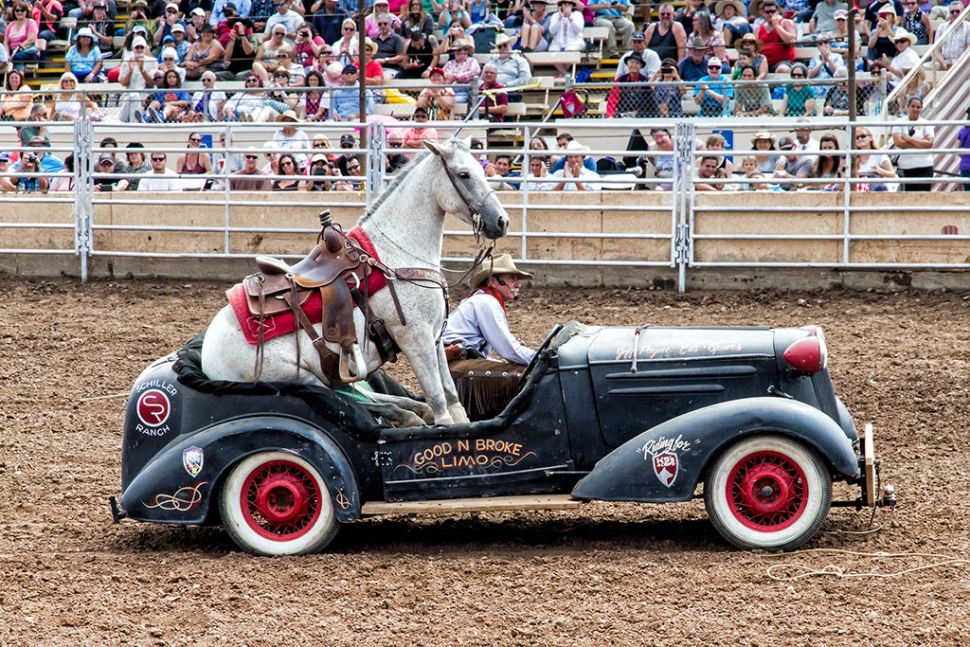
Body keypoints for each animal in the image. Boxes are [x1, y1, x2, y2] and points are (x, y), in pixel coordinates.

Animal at [201, 139, 510, 428]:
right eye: (463, 174)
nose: (502, 221)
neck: (395, 253)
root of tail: (206, 358)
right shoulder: (415, 338)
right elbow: (438, 401)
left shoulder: (434, 337)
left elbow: (451, 395)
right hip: (301, 379)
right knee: (351, 402)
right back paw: (405, 414)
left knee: (365, 396)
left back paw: (409, 410)